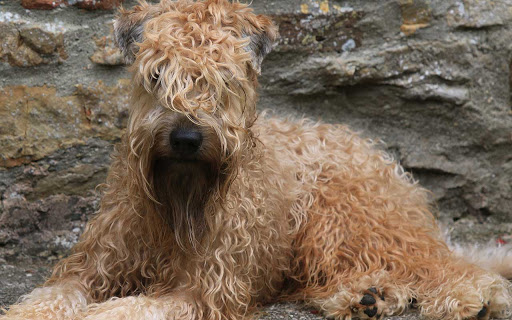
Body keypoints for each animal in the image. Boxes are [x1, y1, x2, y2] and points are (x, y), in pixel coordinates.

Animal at [4, 0, 512, 320]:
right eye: (157, 74)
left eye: (223, 78)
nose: (186, 138)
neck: (178, 201)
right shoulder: (91, 266)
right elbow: (52, 296)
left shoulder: (207, 288)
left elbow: (129, 309)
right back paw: (367, 296)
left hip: (344, 219)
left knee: (437, 264)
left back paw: (476, 296)